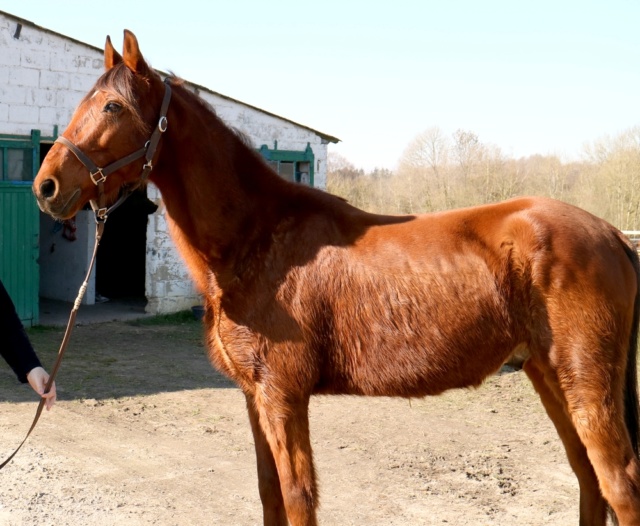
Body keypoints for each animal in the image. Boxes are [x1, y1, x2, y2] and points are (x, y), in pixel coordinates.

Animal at [33, 31, 640, 524]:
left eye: (113, 105)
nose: (47, 187)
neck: (257, 238)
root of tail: (612, 234)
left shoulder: (283, 396)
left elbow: (298, 498)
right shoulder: (255, 398)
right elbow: (270, 495)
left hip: (586, 385)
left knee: (618, 484)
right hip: (548, 374)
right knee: (588, 480)